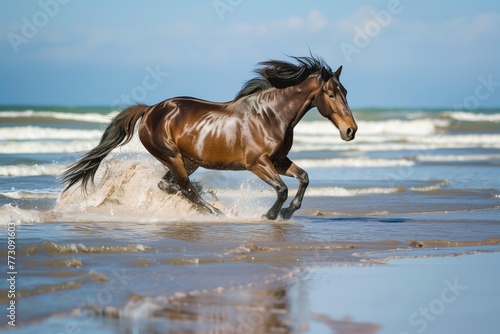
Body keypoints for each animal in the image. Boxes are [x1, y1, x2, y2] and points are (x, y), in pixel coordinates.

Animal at [60, 55, 358, 219]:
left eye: (345, 91)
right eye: (330, 93)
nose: (351, 130)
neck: (270, 116)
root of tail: (150, 109)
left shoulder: (279, 160)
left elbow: (304, 178)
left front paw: (286, 213)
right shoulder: (257, 163)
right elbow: (282, 189)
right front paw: (271, 214)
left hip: (190, 160)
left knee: (171, 186)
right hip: (173, 157)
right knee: (185, 189)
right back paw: (219, 212)